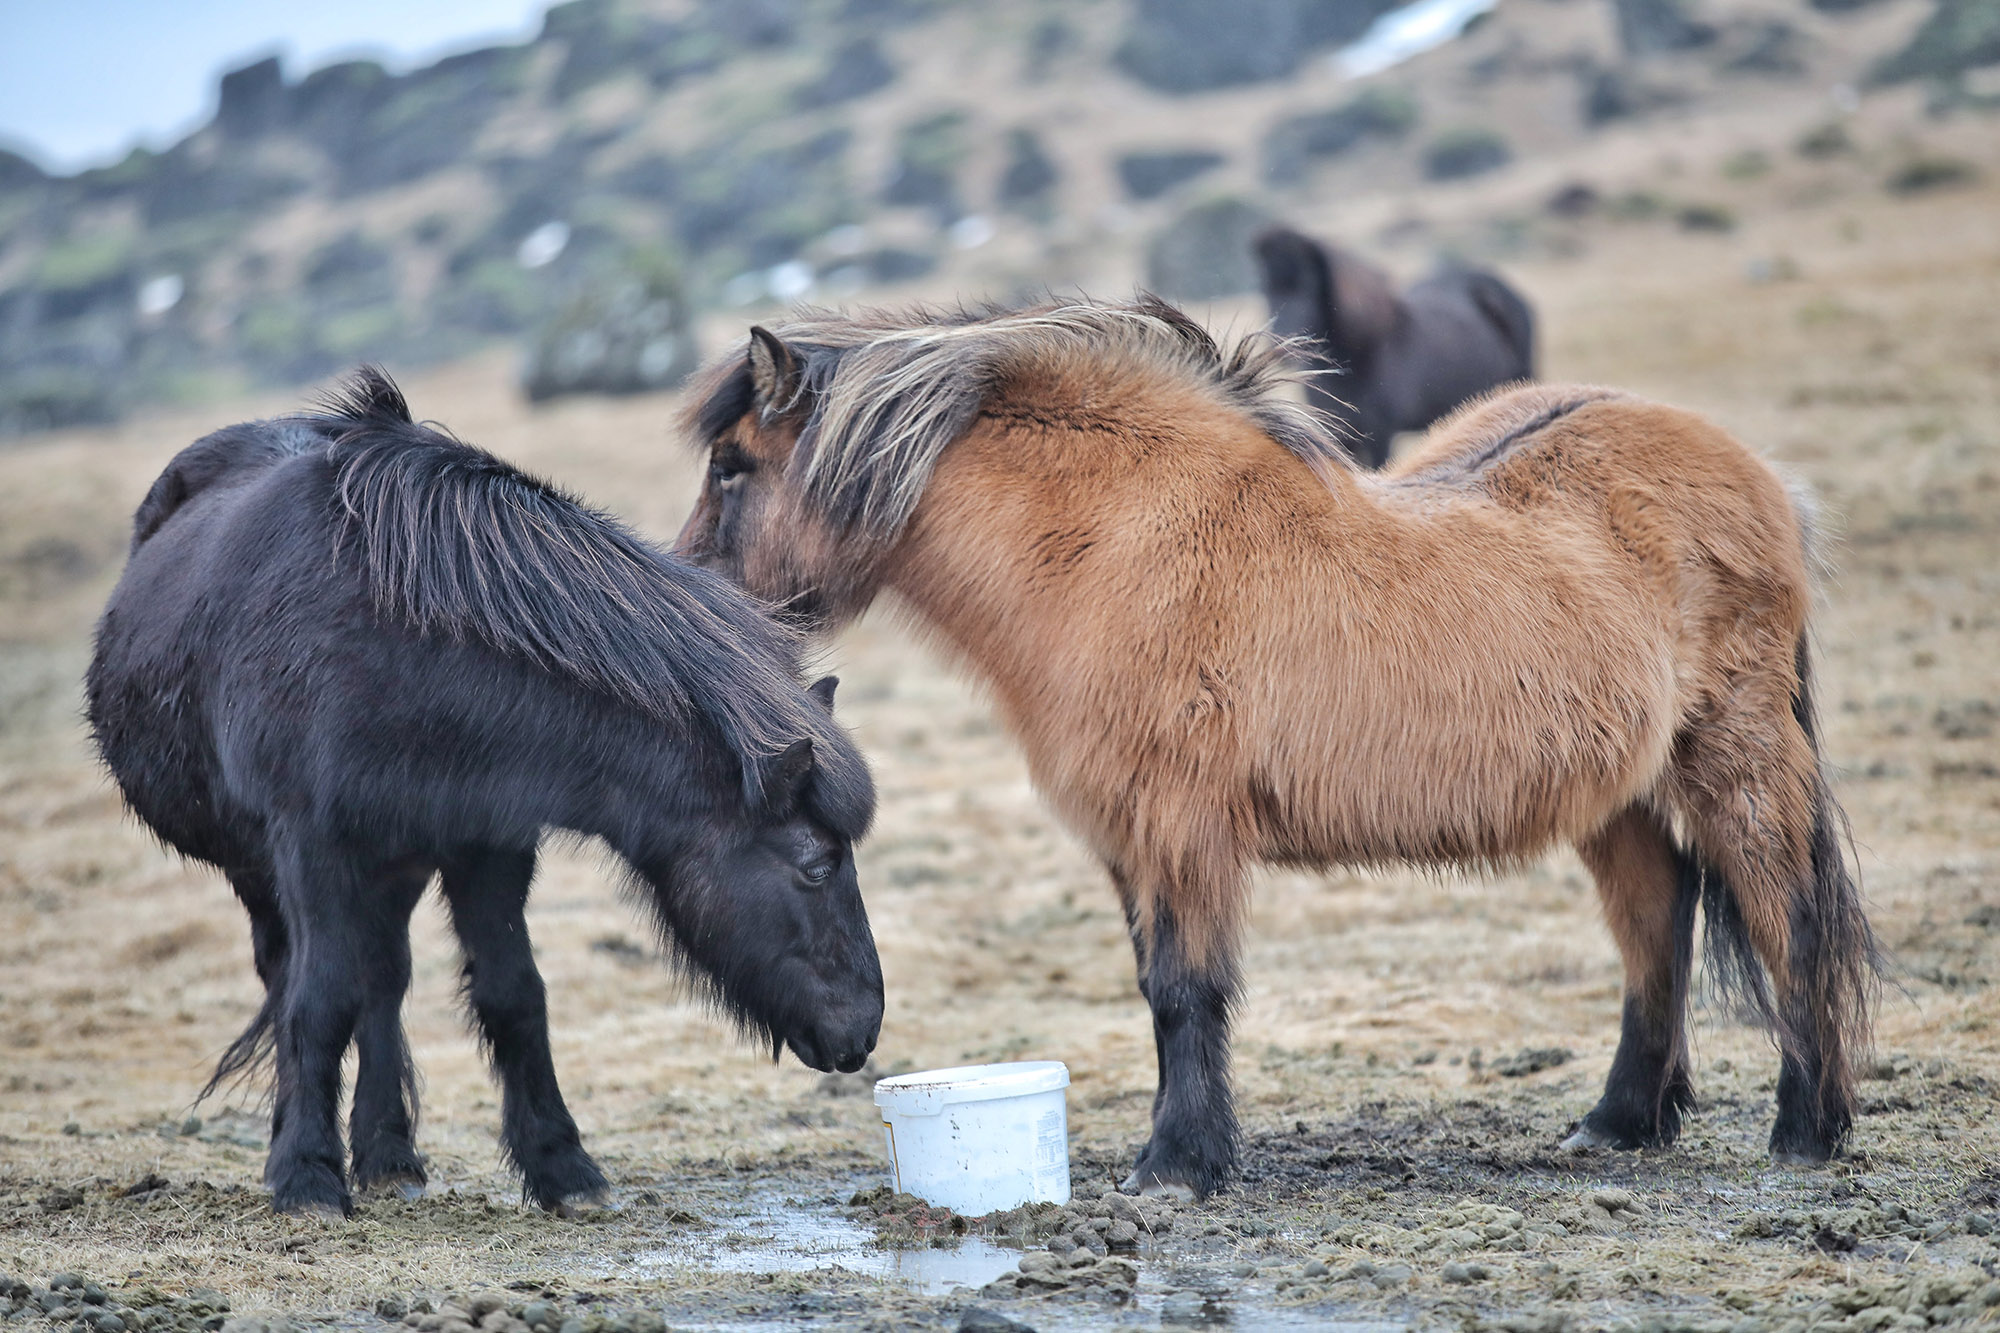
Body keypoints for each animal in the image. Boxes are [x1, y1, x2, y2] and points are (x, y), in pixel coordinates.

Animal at [84, 366, 884, 1216]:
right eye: (816, 865)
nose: (865, 1028)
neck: (406, 646)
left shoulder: (489, 845)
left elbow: (513, 995)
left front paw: (562, 1166)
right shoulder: (313, 846)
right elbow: (318, 999)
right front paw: (305, 1174)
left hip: (394, 866)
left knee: (383, 979)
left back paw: (389, 1154)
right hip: (260, 869)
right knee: (294, 977)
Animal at [680, 294, 1880, 1192]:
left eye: (734, 468)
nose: (694, 594)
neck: (1116, 543)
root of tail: (1760, 478)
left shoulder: (1181, 825)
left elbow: (1184, 990)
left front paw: (1177, 1166)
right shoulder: (1128, 841)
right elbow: (1155, 991)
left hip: (1735, 755)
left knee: (1786, 915)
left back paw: (1805, 1130)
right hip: (1615, 789)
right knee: (1656, 915)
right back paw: (1621, 1119)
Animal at [1256, 220, 1536, 464]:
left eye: (1308, 286)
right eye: (1265, 288)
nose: (1281, 350)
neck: (1363, 351)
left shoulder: (1380, 436)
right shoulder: (1338, 435)